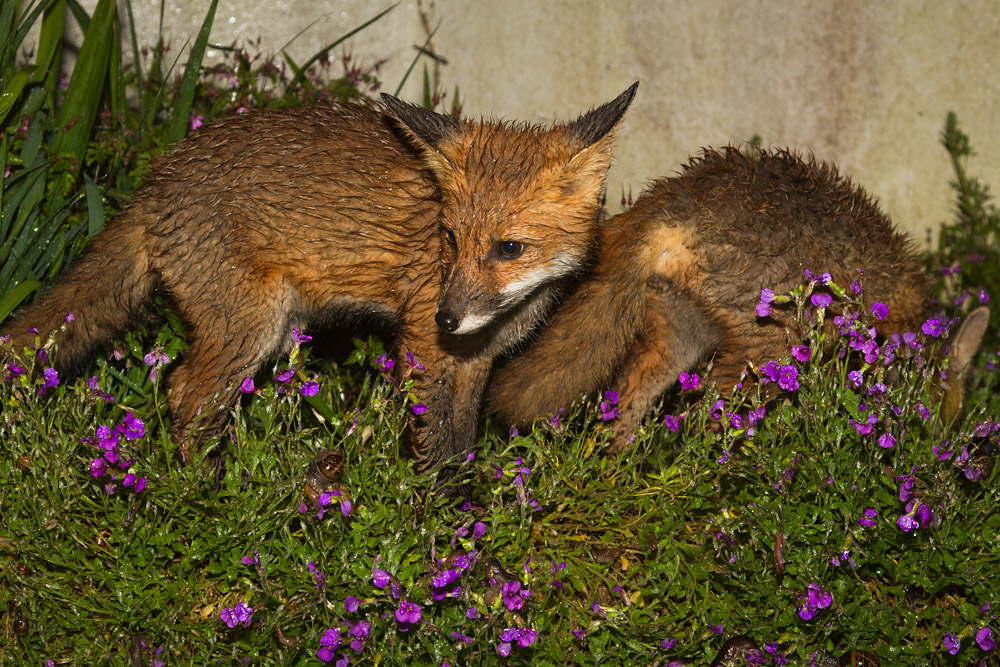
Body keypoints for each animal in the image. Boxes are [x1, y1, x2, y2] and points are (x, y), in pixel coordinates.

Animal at [0, 82, 639, 471]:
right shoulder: (426, 348)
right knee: (186, 395)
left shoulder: (473, 360)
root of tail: (152, 182)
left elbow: (462, 444)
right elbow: (436, 451)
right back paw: (207, 494)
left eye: (510, 248)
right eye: (452, 240)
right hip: (251, 329)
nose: (448, 316)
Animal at [487, 147, 990, 447]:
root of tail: (674, 196)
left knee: (626, 404)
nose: (934, 455)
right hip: (764, 354)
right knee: (706, 420)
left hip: (680, 340)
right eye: (936, 417)